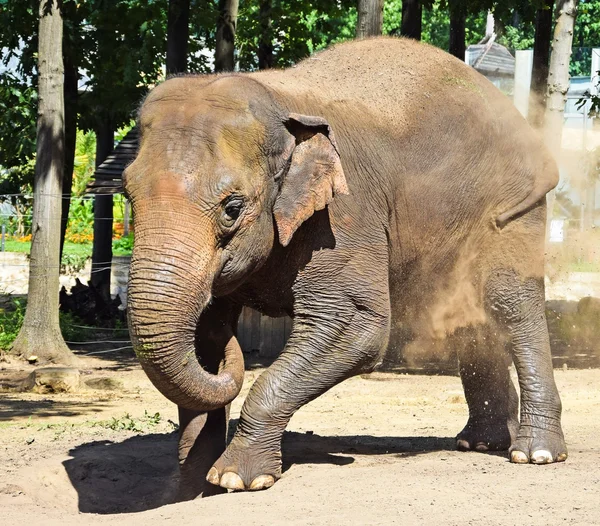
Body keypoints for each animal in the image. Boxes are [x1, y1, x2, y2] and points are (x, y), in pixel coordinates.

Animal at [125, 37, 568, 496]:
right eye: (126, 195)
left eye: (232, 208)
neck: (280, 101)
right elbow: (204, 341)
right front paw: (191, 482)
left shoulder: (345, 214)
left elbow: (355, 326)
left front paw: (236, 478)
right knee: (468, 310)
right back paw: (480, 443)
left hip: (512, 208)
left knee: (507, 303)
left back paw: (535, 453)